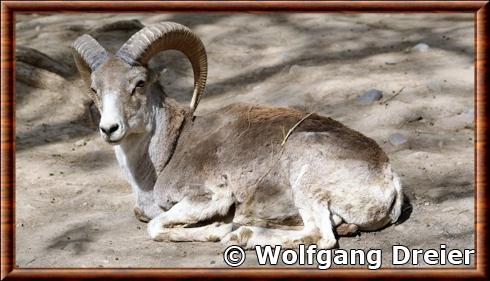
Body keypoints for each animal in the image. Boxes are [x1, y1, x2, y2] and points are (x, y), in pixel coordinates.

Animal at [72, 22, 402, 249]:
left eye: (138, 83)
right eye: (95, 89)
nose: (109, 129)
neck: (168, 152)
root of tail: (389, 178)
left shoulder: (209, 198)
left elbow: (154, 226)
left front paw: (218, 229)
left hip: (306, 179)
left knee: (320, 235)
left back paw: (240, 233)